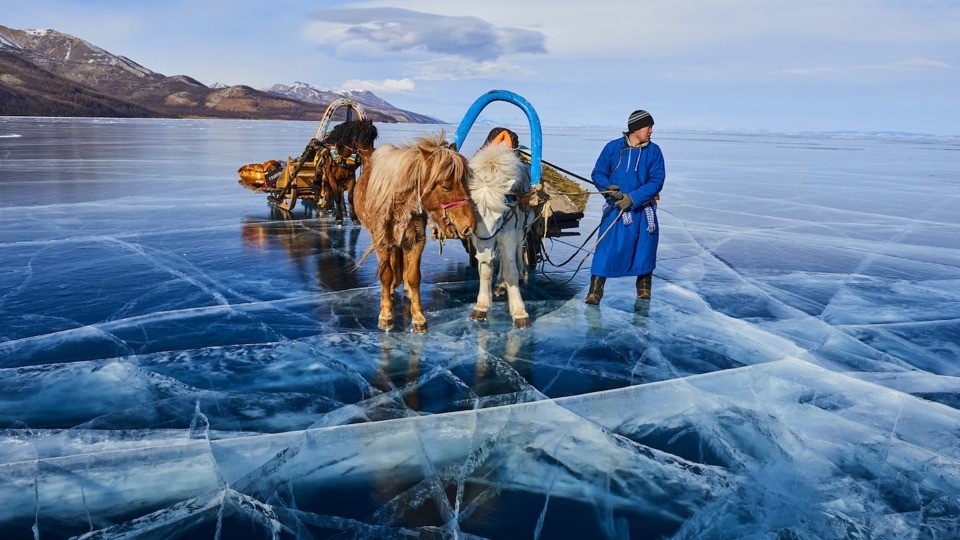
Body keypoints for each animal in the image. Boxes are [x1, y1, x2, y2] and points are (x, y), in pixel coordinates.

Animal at [352, 133, 476, 332]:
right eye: (446, 185)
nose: (469, 225)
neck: (399, 202)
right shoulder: (382, 241)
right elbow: (386, 275)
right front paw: (385, 315)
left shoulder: (416, 239)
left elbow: (413, 276)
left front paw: (418, 317)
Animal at [464, 135, 532, 330]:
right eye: (472, 214)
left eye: (501, 214)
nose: (484, 254)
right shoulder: (479, 240)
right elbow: (486, 270)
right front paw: (481, 307)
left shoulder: (509, 235)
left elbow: (511, 272)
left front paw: (519, 313)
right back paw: (500, 284)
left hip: (522, 231)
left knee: (518, 251)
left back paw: (521, 275)